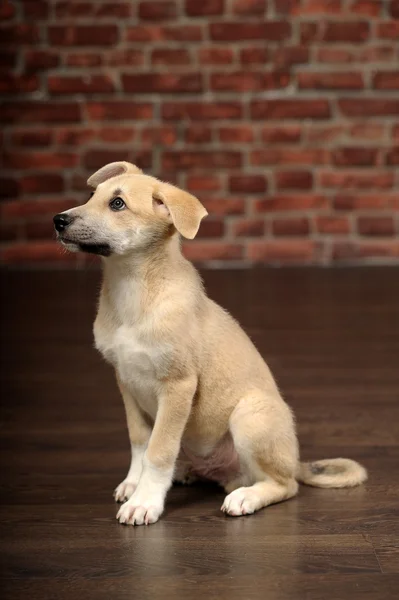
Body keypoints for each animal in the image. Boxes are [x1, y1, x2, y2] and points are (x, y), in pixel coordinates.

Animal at [54, 163, 368, 524]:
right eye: (92, 195)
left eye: (117, 204)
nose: (58, 220)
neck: (134, 290)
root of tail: (295, 462)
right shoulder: (125, 380)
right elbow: (140, 441)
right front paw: (134, 483)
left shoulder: (178, 386)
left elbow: (158, 450)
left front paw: (145, 501)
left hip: (250, 417)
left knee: (284, 485)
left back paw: (246, 497)